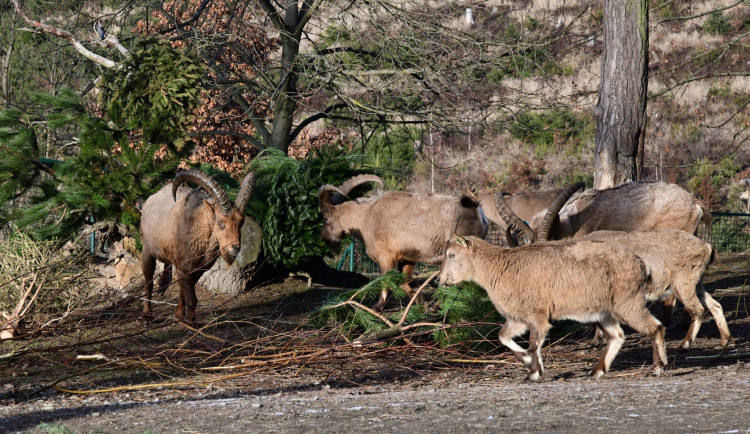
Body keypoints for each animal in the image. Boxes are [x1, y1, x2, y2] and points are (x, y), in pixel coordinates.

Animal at [140, 168, 256, 324]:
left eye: (241, 222)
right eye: (220, 222)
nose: (235, 248)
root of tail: (151, 199)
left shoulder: (197, 269)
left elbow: (185, 293)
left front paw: (179, 316)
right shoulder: (183, 267)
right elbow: (191, 299)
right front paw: (192, 323)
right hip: (147, 250)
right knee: (148, 280)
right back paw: (147, 316)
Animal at [320, 174, 490, 308]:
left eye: (326, 218)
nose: (324, 238)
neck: (366, 216)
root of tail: (477, 210)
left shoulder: (386, 257)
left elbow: (387, 280)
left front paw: (378, 306)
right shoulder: (407, 258)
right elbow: (404, 279)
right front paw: (419, 301)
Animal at [440, 234, 668, 380]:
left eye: (451, 254)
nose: (439, 280)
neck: (500, 268)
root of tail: (641, 264)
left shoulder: (536, 315)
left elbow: (534, 342)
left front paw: (533, 373)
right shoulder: (518, 318)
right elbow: (504, 336)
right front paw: (528, 362)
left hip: (628, 302)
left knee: (655, 327)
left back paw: (658, 367)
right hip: (605, 312)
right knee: (617, 336)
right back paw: (596, 371)